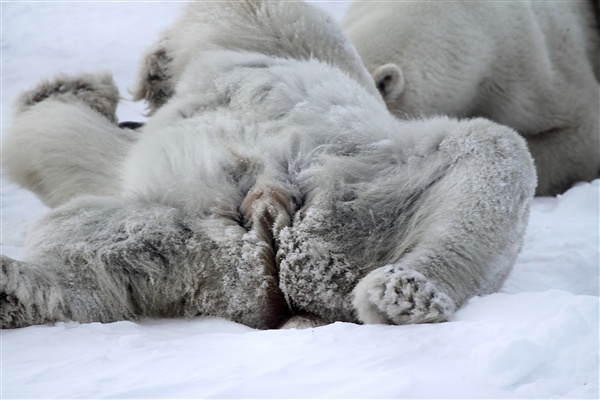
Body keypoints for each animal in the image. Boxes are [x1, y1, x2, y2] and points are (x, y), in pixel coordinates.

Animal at [0, 1, 536, 330]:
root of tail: (271, 229)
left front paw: (72, 88)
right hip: (190, 242)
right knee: (86, 247)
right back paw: (12, 289)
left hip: (376, 193)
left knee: (493, 149)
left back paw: (407, 292)